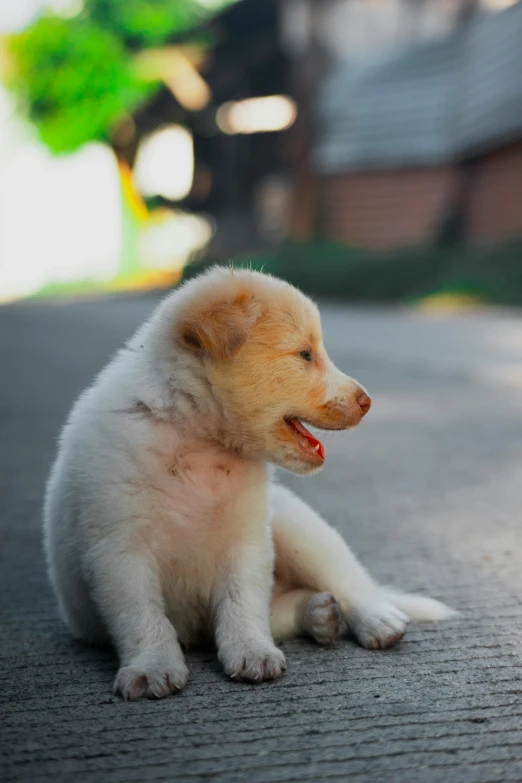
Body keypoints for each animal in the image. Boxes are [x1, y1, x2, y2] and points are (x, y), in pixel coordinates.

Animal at [43, 268, 450, 700]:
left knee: (348, 579)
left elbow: (243, 602)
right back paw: (319, 614)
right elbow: (142, 615)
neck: (197, 439)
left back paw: (376, 620)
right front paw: (152, 667)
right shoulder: (118, 551)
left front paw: (252, 653)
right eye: (304, 355)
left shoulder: (247, 539)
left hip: (296, 524)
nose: (367, 401)